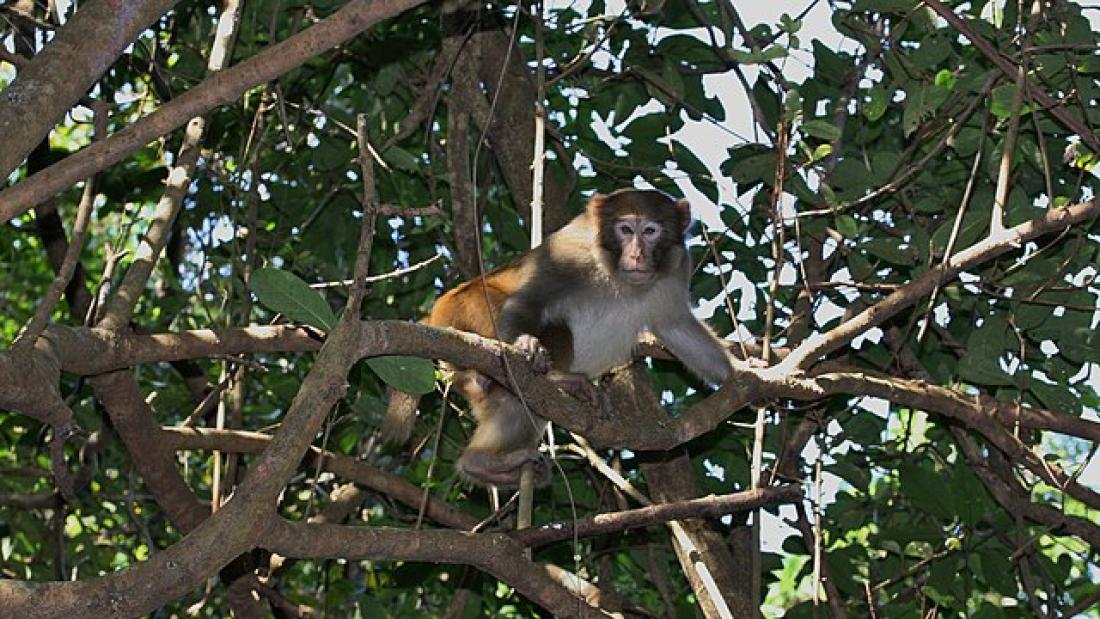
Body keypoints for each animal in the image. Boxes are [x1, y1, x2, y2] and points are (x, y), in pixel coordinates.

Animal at [387, 189, 730, 490]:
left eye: (650, 231)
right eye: (625, 229)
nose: (636, 254)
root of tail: (439, 309)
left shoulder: (678, 266)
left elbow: (676, 326)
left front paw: (736, 376)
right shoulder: (568, 252)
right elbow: (529, 302)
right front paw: (526, 345)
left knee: (514, 405)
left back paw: (481, 463)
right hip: (471, 308)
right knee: (552, 327)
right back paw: (555, 379)